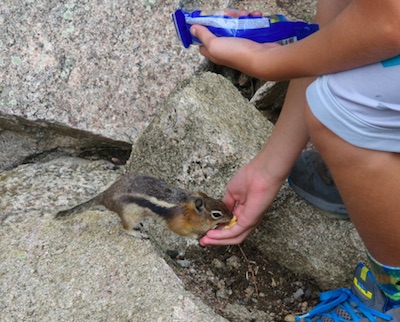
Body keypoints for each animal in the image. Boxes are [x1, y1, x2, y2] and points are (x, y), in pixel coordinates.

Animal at [54, 175, 233, 238]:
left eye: (222, 202)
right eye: (216, 214)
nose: (232, 216)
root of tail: (105, 195)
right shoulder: (176, 223)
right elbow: (181, 231)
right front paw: (196, 236)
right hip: (129, 213)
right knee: (125, 227)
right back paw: (136, 233)